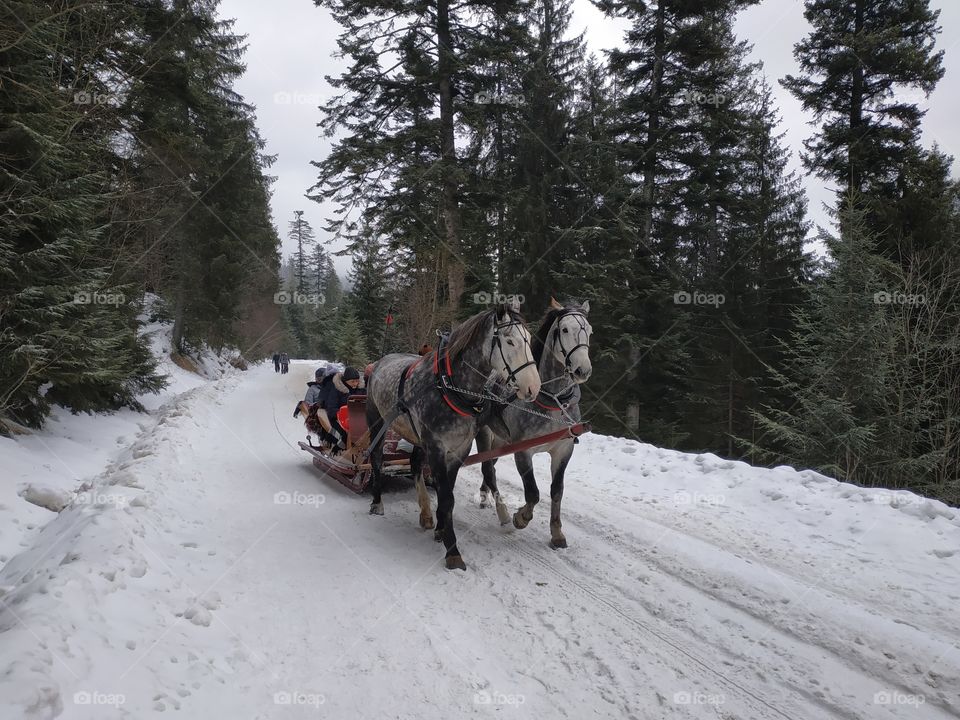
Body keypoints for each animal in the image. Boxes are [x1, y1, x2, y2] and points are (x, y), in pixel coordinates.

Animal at [365, 302, 542, 570]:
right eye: (509, 341)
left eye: (529, 340)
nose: (533, 387)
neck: (450, 386)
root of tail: (380, 361)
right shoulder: (437, 446)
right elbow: (446, 497)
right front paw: (453, 551)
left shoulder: (459, 448)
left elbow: (447, 492)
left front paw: (440, 528)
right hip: (379, 421)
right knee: (376, 458)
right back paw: (377, 502)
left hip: (419, 437)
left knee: (415, 464)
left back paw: (426, 514)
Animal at [476, 298, 592, 549]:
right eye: (564, 329)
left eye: (589, 330)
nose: (583, 370)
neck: (552, 402)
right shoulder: (523, 451)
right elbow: (532, 493)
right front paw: (521, 517)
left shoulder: (563, 449)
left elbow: (557, 491)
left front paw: (557, 533)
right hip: (484, 433)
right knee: (487, 468)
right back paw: (502, 512)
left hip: (501, 439)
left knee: (491, 466)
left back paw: (484, 496)